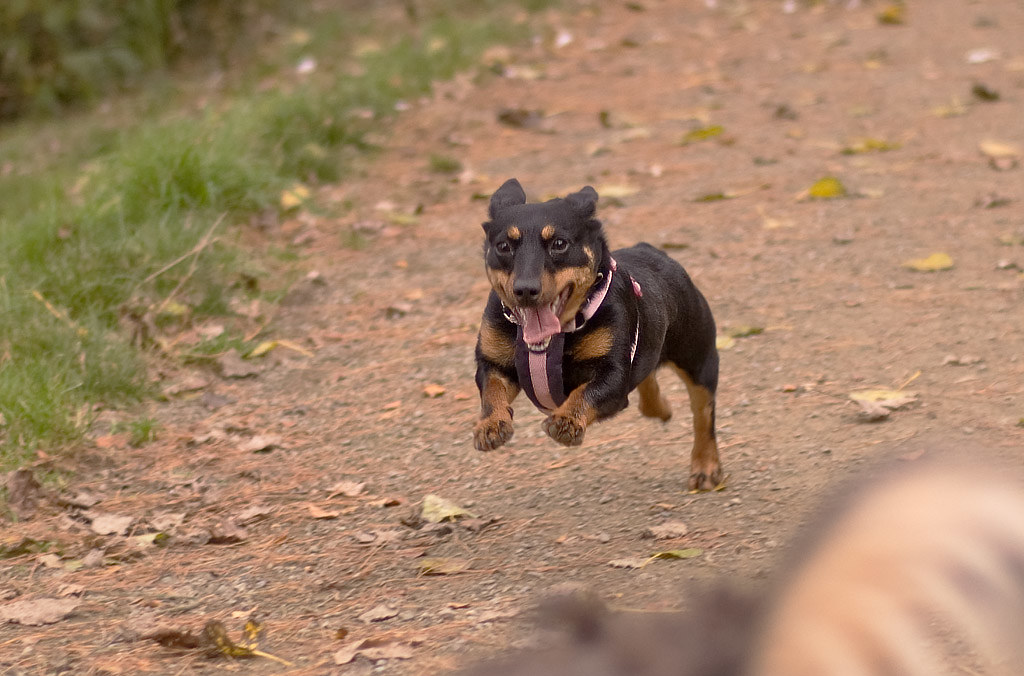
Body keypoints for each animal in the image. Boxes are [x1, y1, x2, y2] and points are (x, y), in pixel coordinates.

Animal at [471, 177, 720, 487]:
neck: (556, 336)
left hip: (699, 358)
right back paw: (660, 408)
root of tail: (653, 251)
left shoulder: (613, 375)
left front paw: (566, 421)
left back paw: (706, 467)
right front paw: (491, 424)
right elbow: (491, 390)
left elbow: (587, 392)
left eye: (560, 244)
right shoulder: (493, 364)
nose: (525, 289)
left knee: (704, 413)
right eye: (503, 246)